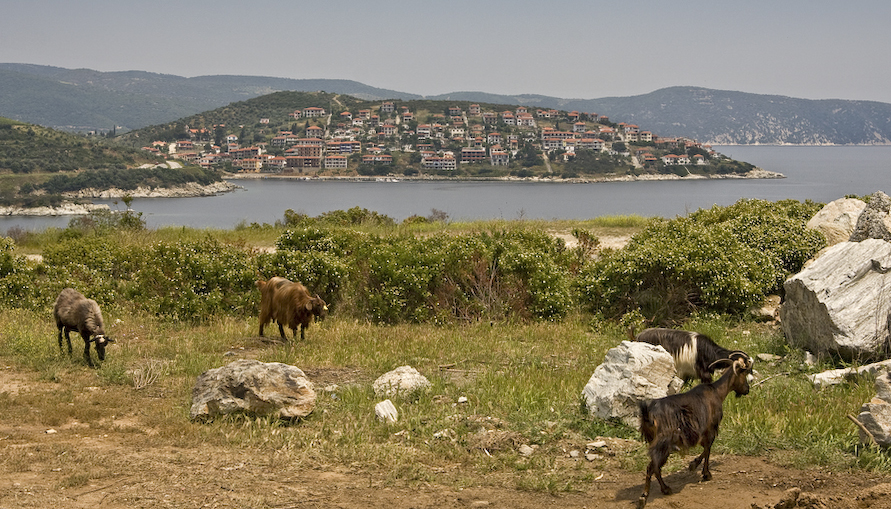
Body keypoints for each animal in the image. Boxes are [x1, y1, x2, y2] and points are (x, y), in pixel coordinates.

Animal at [636, 352, 756, 506]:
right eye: (745, 373)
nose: (747, 390)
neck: (717, 392)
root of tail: (648, 414)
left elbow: (706, 449)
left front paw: (696, 467)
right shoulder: (710, 428)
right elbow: (707, 449)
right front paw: (703, 471)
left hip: (656, 442)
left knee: (654, 467)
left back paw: (662, 490)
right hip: (663, 443)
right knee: (652, 467)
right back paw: (647, 495)